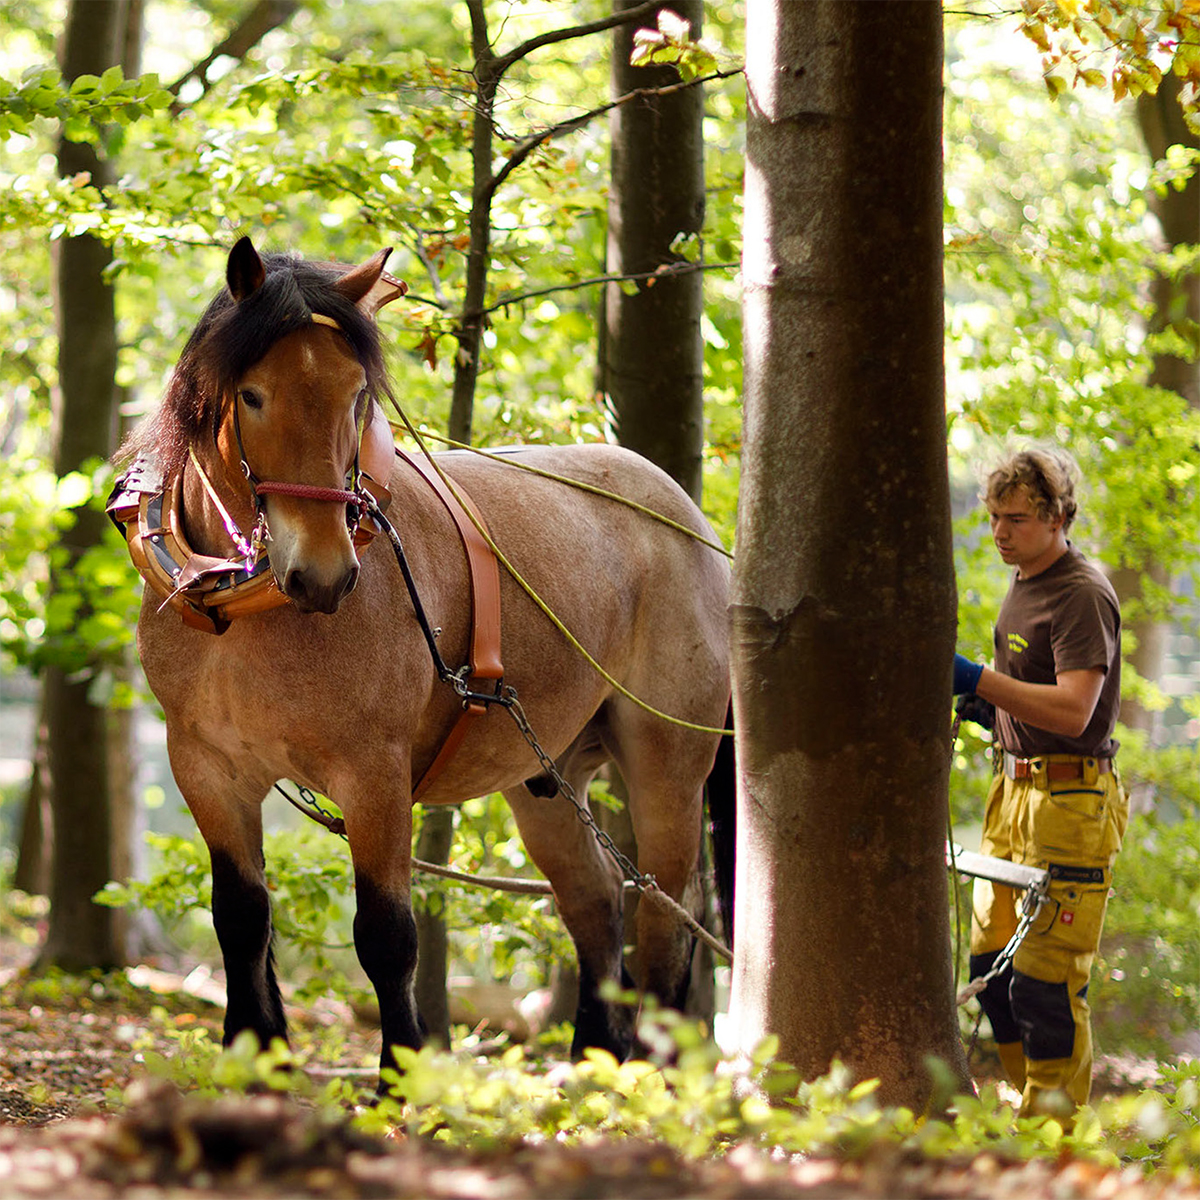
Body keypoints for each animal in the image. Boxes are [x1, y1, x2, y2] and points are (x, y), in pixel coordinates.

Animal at [112, 238, 729, 1084]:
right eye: (253, 395)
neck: (244, 613)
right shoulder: (206, 766)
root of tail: (691, 521)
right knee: (596, 904)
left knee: (666, 917)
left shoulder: (373, 775)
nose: (324, 574)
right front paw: (258, 1058)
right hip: (547, 776)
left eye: (354, 397)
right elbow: (241, 918)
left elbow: (387, 935)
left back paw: (651, 1083)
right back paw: (593, 1068)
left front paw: (398, 1079)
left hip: (667, 762)